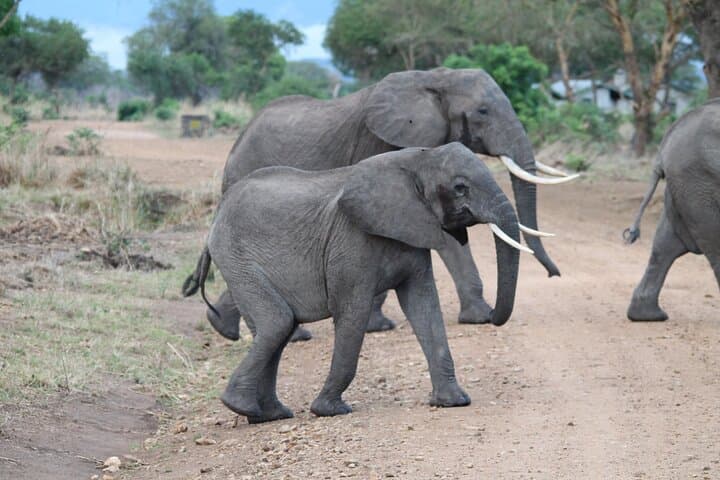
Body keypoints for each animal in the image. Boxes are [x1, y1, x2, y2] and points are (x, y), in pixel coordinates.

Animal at [182, 143, 530, 423]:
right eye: (460, 188)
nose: (491, 317)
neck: (418, 159)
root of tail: (217, 215)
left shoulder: (414, 231)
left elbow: (423, 305)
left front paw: (453, 402)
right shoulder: (351, 241)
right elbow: (353, 311)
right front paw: (330, 410)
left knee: (278, 327)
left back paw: (268, 415)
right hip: (236, 257)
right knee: (277, 321)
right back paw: (241, 406)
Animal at [194, 67, 576, 342]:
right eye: (482, 111)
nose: (554, 274)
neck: (434, 78)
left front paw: (477, 317)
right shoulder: (380, 146)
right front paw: (379, 326)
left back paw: (223, 327)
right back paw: (290, 335)